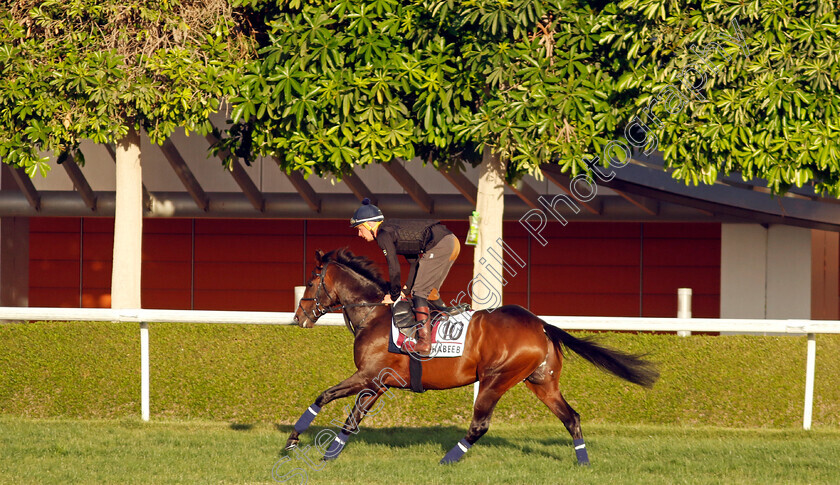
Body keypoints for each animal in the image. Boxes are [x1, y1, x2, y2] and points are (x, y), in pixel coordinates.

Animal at [292, 250, 660, 466]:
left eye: (310, 281)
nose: (298, 318)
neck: (375, 314)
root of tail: (540, 324)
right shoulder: (377, 384)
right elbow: (348, 416)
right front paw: (323, 452)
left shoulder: (369, 377)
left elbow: (327, 399)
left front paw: (298, 443)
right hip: (542, 382)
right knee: (571, 417)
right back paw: (583, 463)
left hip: (495, 379)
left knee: (480, 424)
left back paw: (448, 460)